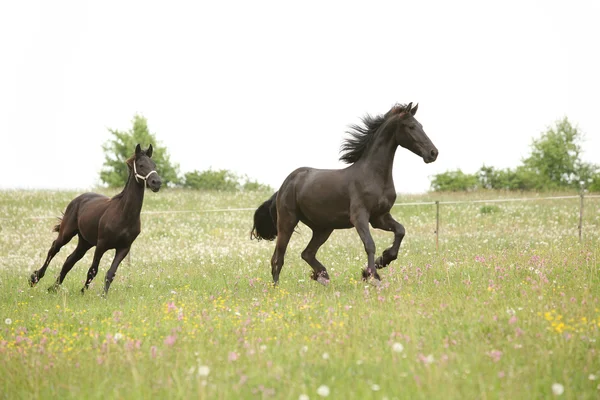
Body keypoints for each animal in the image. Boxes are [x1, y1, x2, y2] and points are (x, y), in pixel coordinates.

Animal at [29, 144, 162, 294]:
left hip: (85, 242)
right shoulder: (101, 244)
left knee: (70, 260)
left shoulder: (123, 248)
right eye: (141, 165)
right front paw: (83, 292)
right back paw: (35, 278)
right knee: (54, 249)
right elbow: (93, 270)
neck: (124, 215)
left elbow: (110, 273)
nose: (156, 182)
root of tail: (78, 199)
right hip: (66, 234)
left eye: (154, 165)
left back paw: (54, 287)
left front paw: (102, 295)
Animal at [251, 103, 438, 284]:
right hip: (287, 221)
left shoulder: (380, 217)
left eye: (421, 126)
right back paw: (277, 288)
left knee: (307, 253)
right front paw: (372, 276)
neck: (373, 175)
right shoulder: (359, 217)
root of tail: (284, 185)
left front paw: (381, 261)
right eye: (411, 126)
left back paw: (322, 276)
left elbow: (400, 230)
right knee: (278, 258)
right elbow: (370, 244)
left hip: (323, 228)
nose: (433, 153)